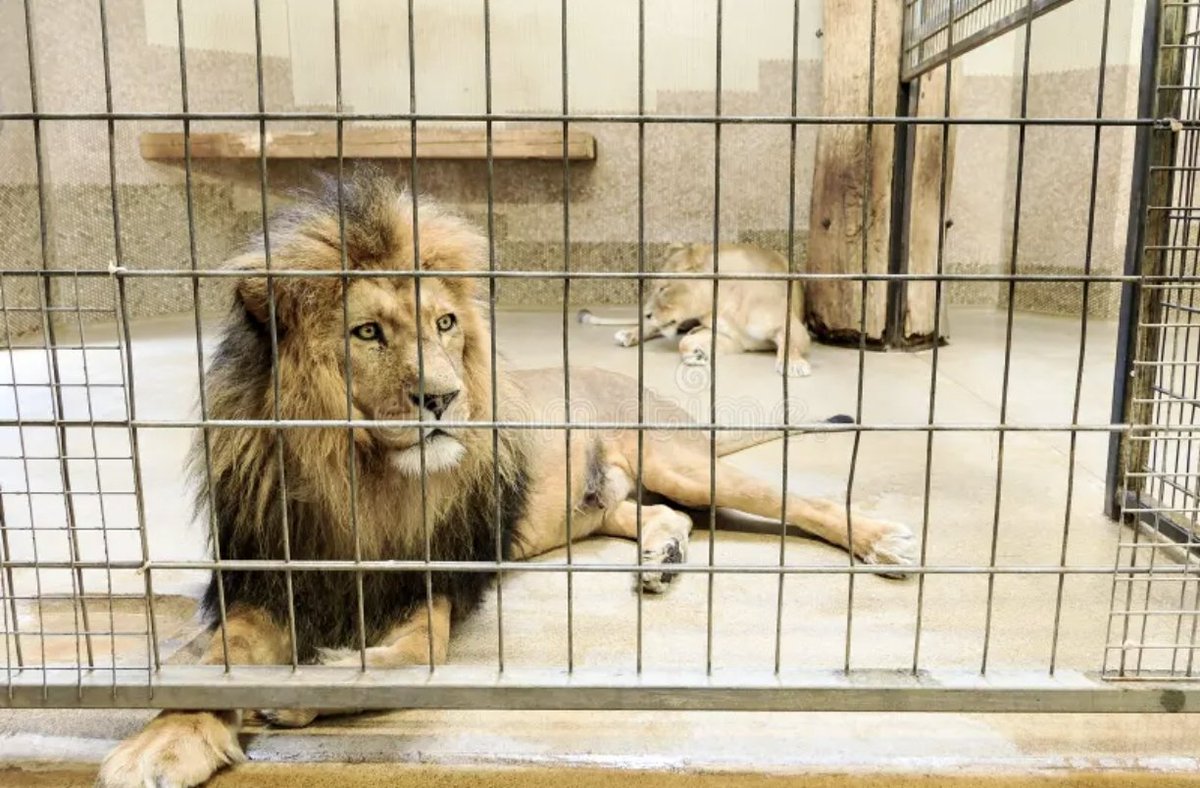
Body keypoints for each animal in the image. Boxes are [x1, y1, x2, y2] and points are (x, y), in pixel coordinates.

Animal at [579, 243, 813, 376]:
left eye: (663, 288)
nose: (647, 313)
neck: (721, 304)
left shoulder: (791, 326)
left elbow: (790, 342)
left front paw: (793, 365)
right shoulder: (730, 336)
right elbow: (683, 343)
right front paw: (697, 354)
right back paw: (629, 334)